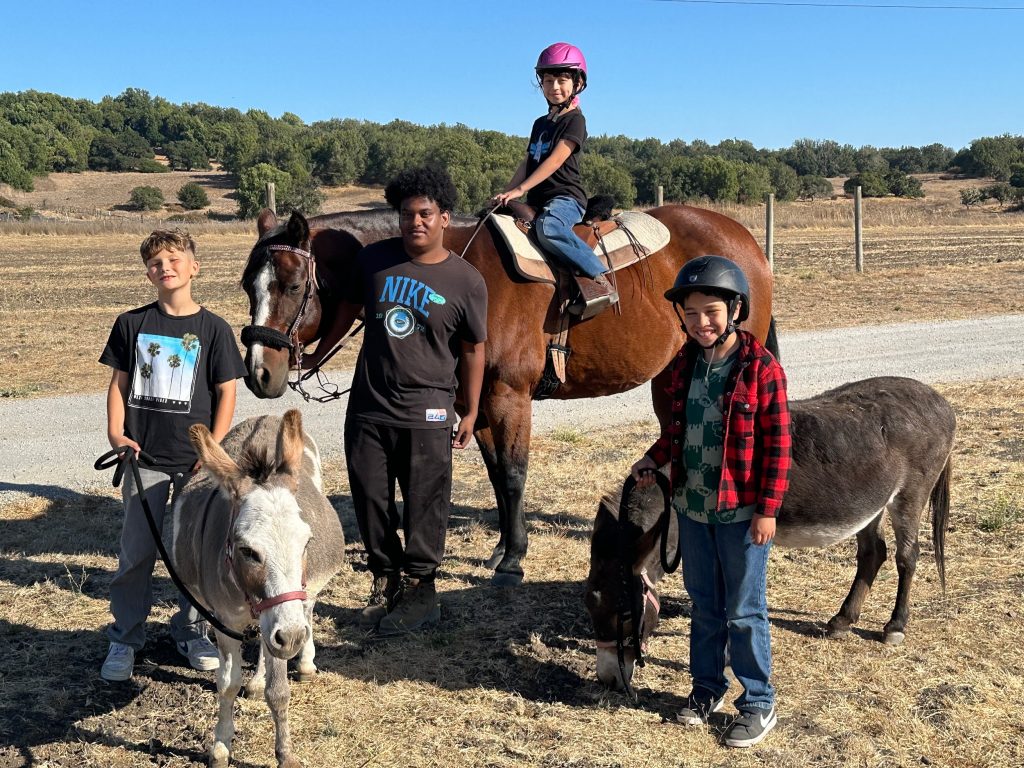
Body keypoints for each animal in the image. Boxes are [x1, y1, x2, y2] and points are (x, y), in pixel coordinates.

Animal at [237, 207, 770, 585]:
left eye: (293, 285)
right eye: (247, 286)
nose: (260, 373)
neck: (458, 273)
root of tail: (740, 236)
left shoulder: (508, 397)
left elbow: (513, 474)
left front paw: (513, 559)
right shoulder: (476, 406)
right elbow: (496, 475)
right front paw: (503, 547)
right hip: (671, 377)